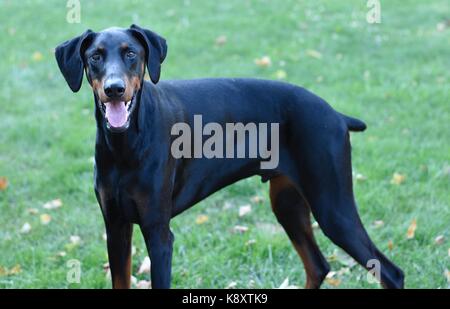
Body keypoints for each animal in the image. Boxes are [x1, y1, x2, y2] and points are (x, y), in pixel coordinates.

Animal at [53, 25, 404, 288]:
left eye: (131, 54)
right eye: (95, 56)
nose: (114, 88)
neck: (125, 143)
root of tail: (335, 114)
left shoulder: (158, 232)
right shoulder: (115, 226)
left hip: (332, 206)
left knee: (391, 273)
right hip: (287, 203)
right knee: (318, 266)